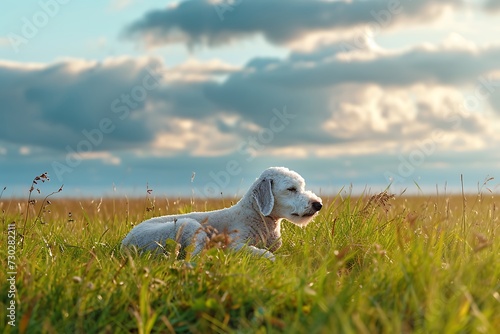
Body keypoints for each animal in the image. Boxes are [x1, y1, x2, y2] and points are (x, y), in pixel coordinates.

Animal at [123, 167, 322, 260]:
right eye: (291, 189)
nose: (318, 204)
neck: (256, 214)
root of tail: (125, 242)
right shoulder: (235, 243)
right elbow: (264, 253)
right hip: (186, 225)